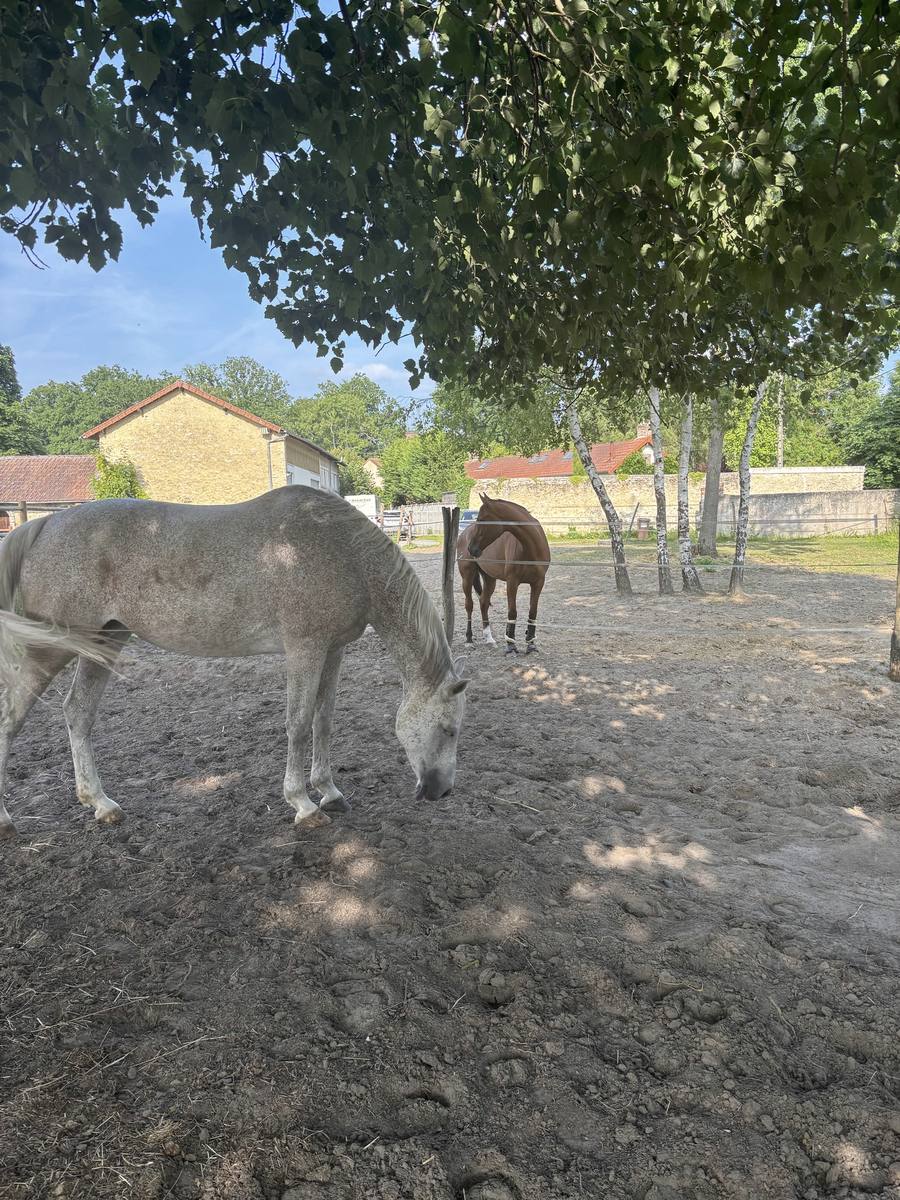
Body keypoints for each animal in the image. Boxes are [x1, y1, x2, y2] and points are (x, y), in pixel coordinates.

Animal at [0, 486, 468, 839]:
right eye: (449, 728)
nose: (442, 792)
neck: (341, 548)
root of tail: (44, 525)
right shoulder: (304, 649)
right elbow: (298, 724)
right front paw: (303, 804)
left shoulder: (332, 651)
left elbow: (323, 721)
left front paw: (329, 792)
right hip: (51, 649)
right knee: (12, 717)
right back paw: (6, 820)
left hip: (105, 641)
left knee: (77, 713)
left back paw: (101, 803)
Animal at [457, 495, 551, 655]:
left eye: (482, 519)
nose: (471, 548)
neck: (530, 548)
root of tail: (463, 534)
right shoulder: (512, 582)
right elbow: (512, 612)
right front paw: (511, 645)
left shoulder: (538, 583)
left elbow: (533, 612)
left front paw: (531, 644)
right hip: (467, 577)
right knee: (469, 605)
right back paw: (469, 640)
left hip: (490, 579)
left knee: (483, 603)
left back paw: (489, 639)